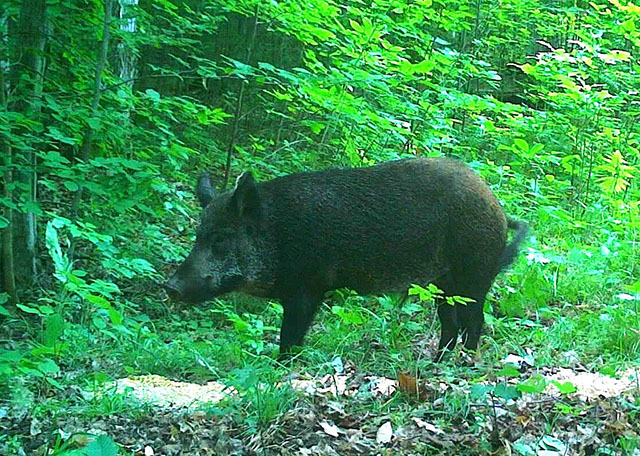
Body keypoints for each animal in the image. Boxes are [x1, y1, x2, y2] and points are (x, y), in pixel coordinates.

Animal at [164, 158, 528, 361]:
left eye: (221, 241)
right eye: (197, 235)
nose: (170, 286)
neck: (277, 234)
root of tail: (497, 207)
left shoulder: (307, 289)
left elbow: (290, 338)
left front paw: (281, 369)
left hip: (474, 275)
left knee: (474, 322)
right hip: (442, 285)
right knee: (450, 324)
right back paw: (433, 364)